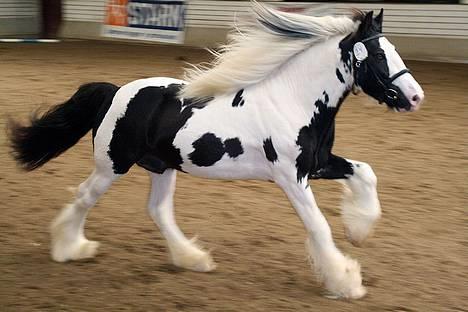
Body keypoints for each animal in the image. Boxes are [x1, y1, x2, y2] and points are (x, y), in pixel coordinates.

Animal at [7, 3, 424, 300]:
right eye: (378, 56)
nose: (416, 96)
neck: (294, 101)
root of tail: (116, 92)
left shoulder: (318, 164)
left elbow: (366, 171)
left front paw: (359, 230)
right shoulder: (291, 177)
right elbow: (318, 226)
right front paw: (346, 280)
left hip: (161, 166)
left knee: (158, 210)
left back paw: (194, 259)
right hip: (113, 164)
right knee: (84, 197)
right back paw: (70, 249)